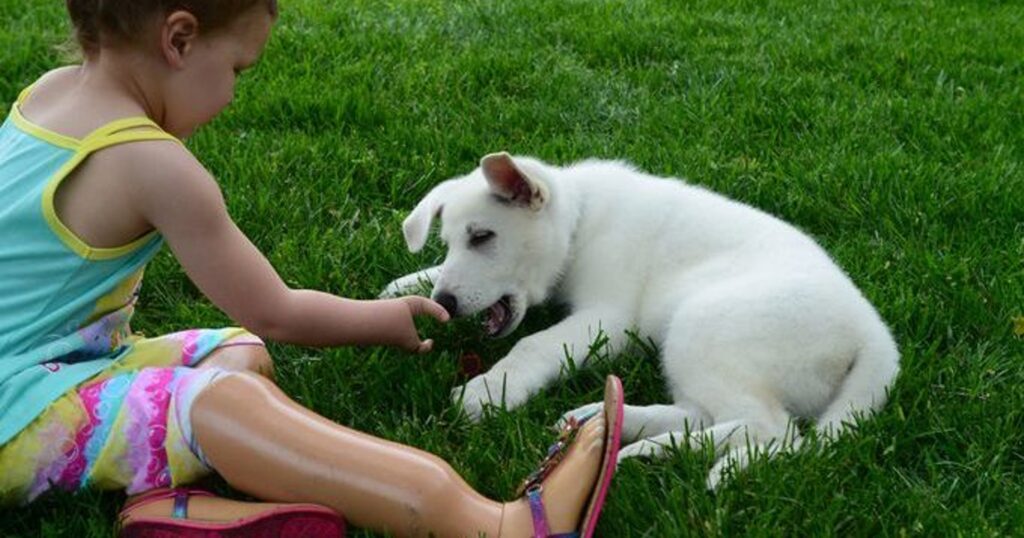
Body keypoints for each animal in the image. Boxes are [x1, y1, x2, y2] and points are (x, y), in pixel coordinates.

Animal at [382, 150, 897, 485]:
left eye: (483, 237)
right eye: (450, 242)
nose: (447, 303)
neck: (579, 222)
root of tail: (876, 336)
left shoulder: (607, 321)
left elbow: (534, 344)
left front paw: (489, 390)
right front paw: (406, 286)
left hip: (702, 326)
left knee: (772, 429)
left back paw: (656, 449)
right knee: (705, 413)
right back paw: (614, 423)